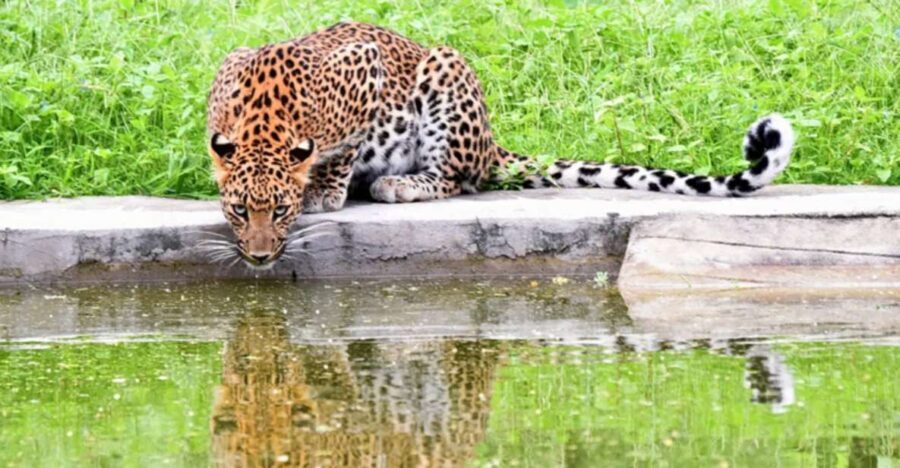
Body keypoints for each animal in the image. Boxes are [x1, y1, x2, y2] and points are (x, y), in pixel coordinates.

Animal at [207, 22, 795, 268]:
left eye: (280, 212)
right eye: (237, 211)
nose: (260, 256)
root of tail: (493, 142)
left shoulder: (365, 69)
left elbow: (342, 151)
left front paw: (325, 191)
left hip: (445, 71)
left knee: (458, 179)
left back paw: (398, 183)